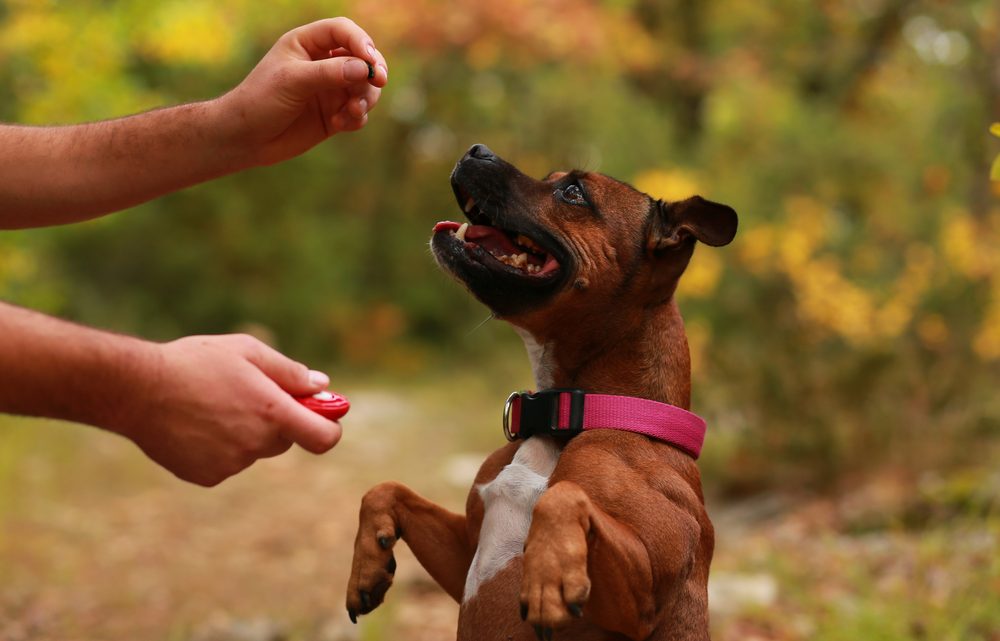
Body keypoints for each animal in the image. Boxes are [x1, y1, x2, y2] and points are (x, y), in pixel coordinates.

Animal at [348, 145, 740, 640]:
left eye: (573, 192)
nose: (477, 150)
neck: (569, 414)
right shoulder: (462, 554)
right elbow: (386, 489)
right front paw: (368, 561)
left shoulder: (645, 590)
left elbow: (563, 495)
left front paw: (547, 575)